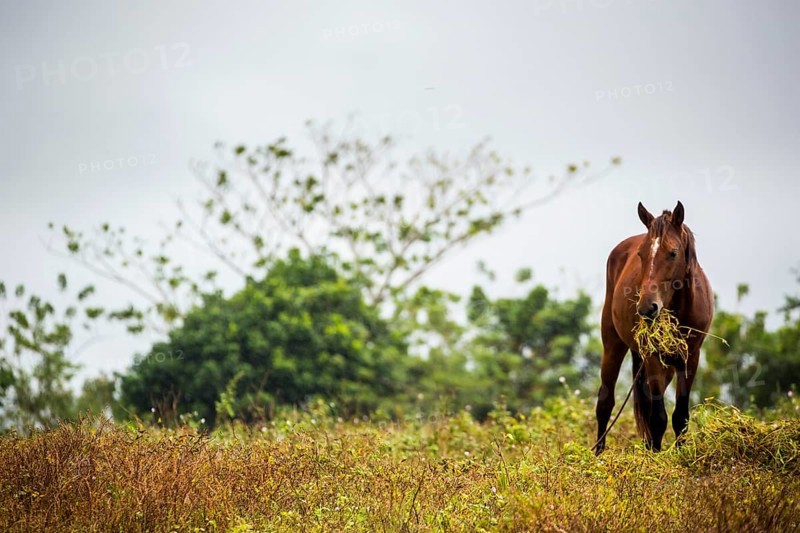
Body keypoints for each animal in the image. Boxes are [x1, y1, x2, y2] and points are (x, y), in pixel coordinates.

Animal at [594, 201, 714, 454]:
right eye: (641, 254)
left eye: (673, 253)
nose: (647, 308)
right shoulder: (652, 356)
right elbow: (658, 418)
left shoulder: (691, 358)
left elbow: (680, 416)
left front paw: (680, 454)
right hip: (613, 345)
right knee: (605, 402)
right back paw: (598, 454)